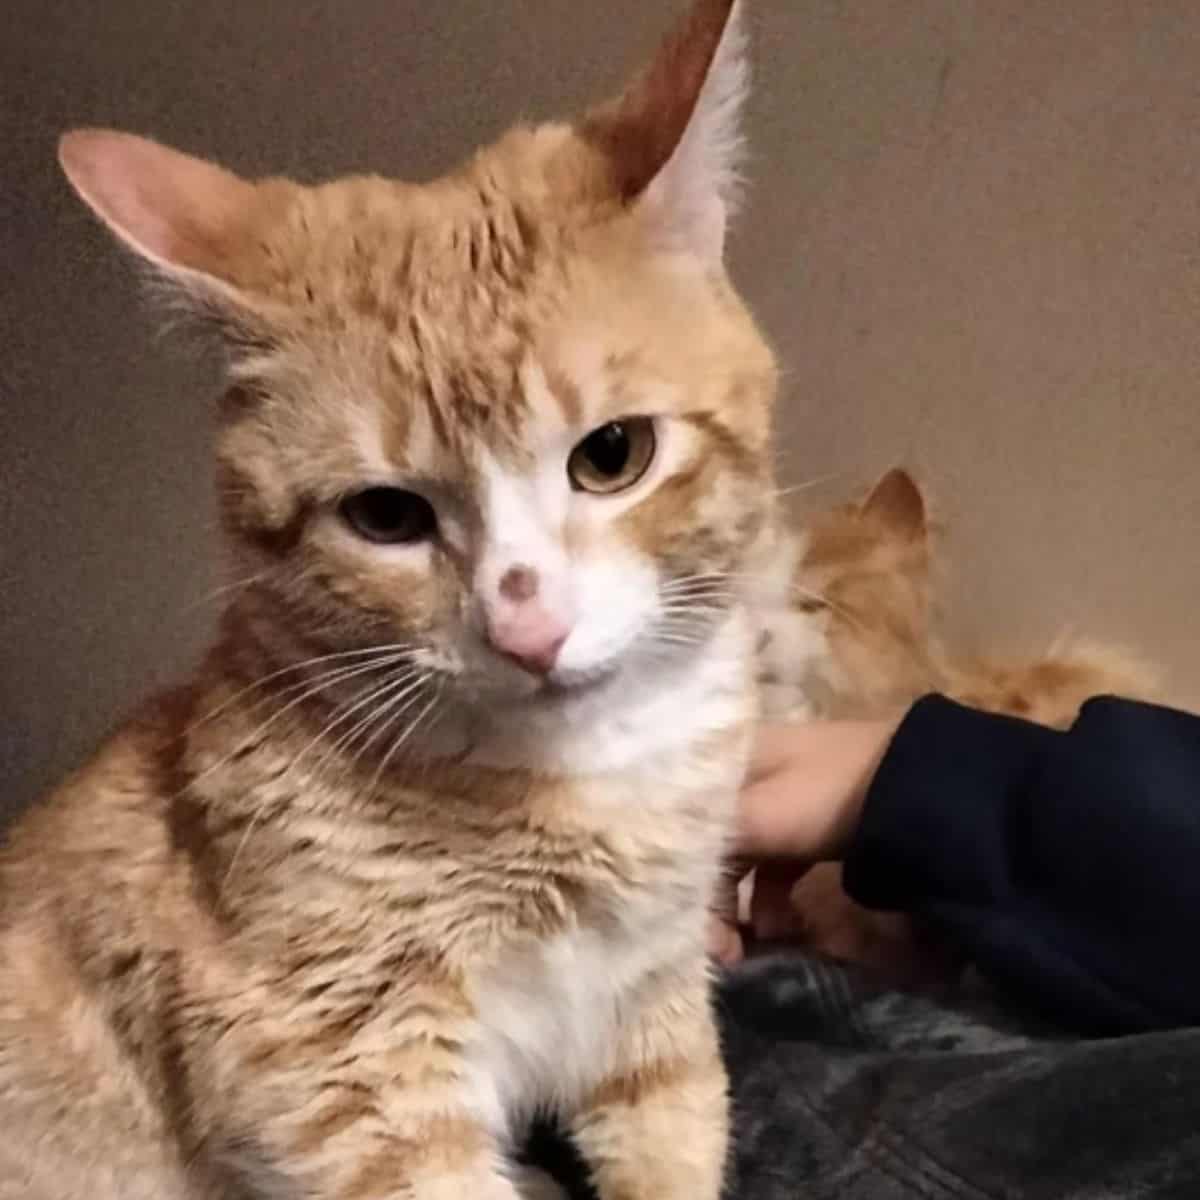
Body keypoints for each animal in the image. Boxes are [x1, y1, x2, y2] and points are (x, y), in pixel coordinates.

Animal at [0, 4, 777, 1195]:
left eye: (613, 454)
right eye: (385, 516)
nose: (529, 627)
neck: (588, 781)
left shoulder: (652, 1007)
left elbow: (674, 1140)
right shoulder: (346, 1072)